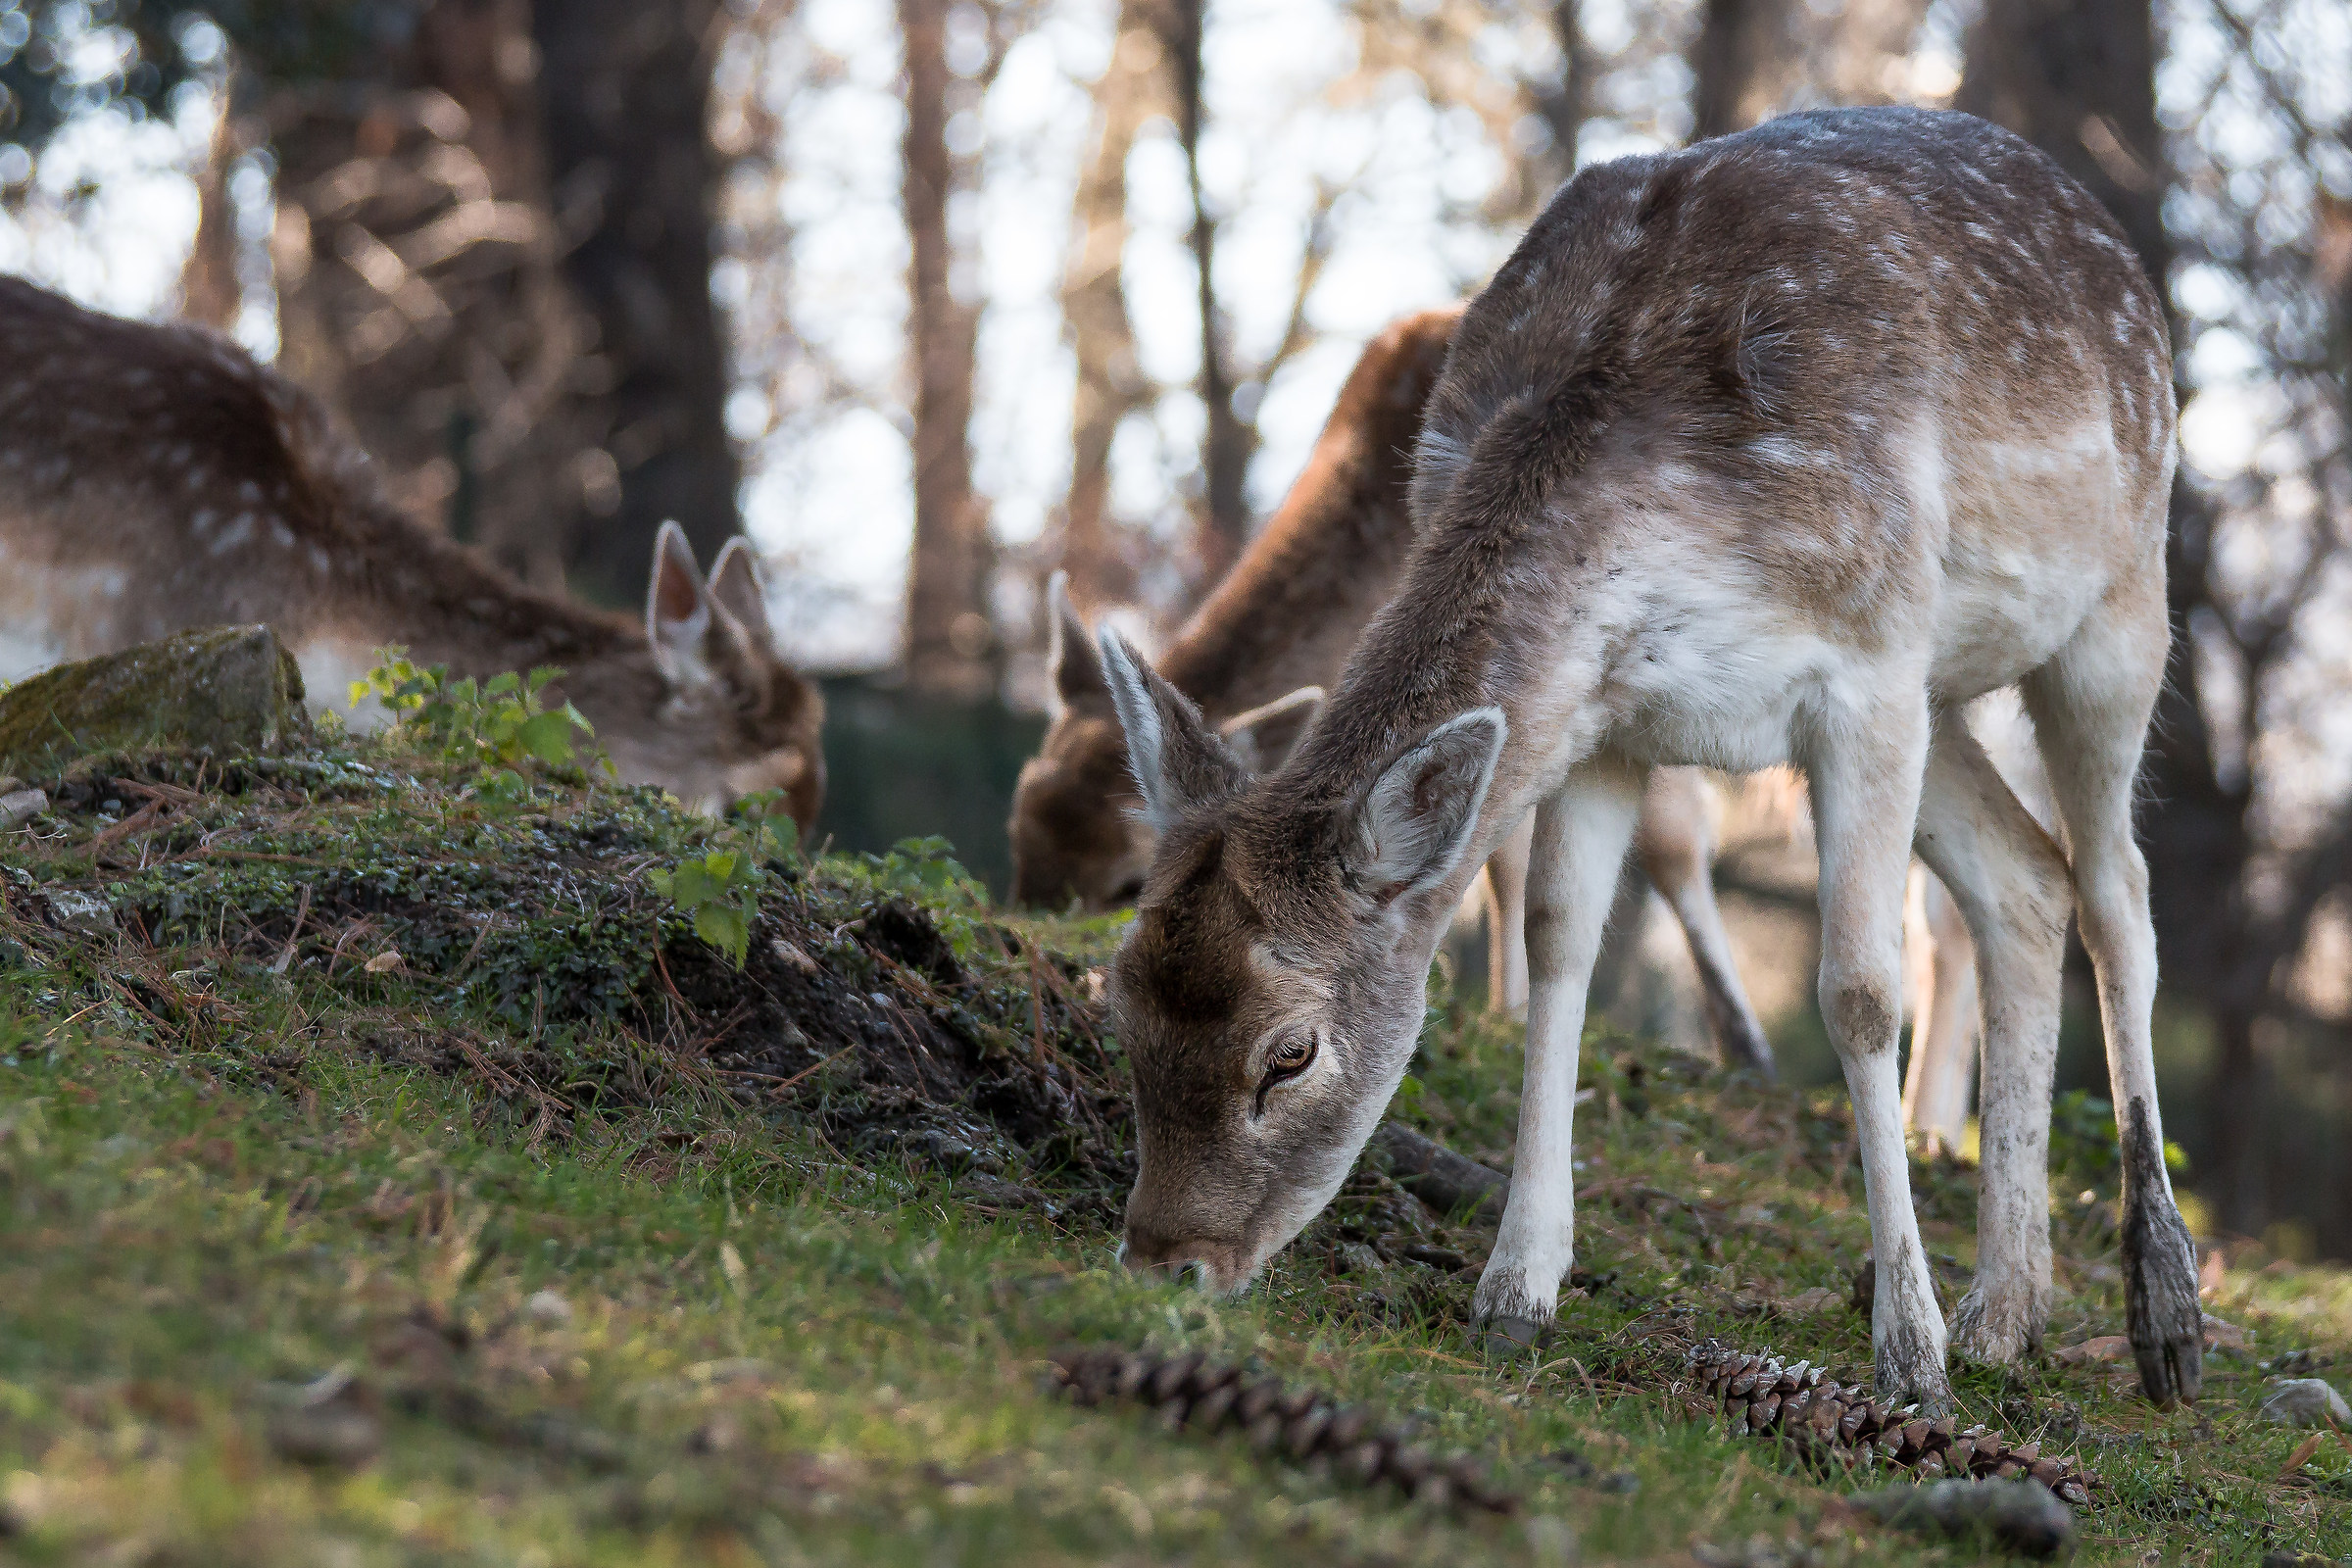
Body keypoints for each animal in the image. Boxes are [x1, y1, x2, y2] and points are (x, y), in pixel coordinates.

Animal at [1014, 308, 1778, 1076]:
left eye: (1126, 879)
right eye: (1017, 827)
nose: (1033, 927)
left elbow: (1664, 833)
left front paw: (1744, 1046)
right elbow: (1494, 850)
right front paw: (1504, 1009)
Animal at [1090, 107, 2202, 1413]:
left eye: (1291, 1051)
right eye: (1121, 993)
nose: (1166, 1261)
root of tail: (2113, 247)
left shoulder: (1868, 669)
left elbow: (1856, 989)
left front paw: (1907, 1356)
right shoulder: (1604, 716)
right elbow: (1558, 942)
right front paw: (1515, 1292)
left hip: (2112, 605)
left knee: (2119, 892)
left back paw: (2158, 1311)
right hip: (1946, 690)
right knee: (2027, 881)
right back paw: (2006, 1311)